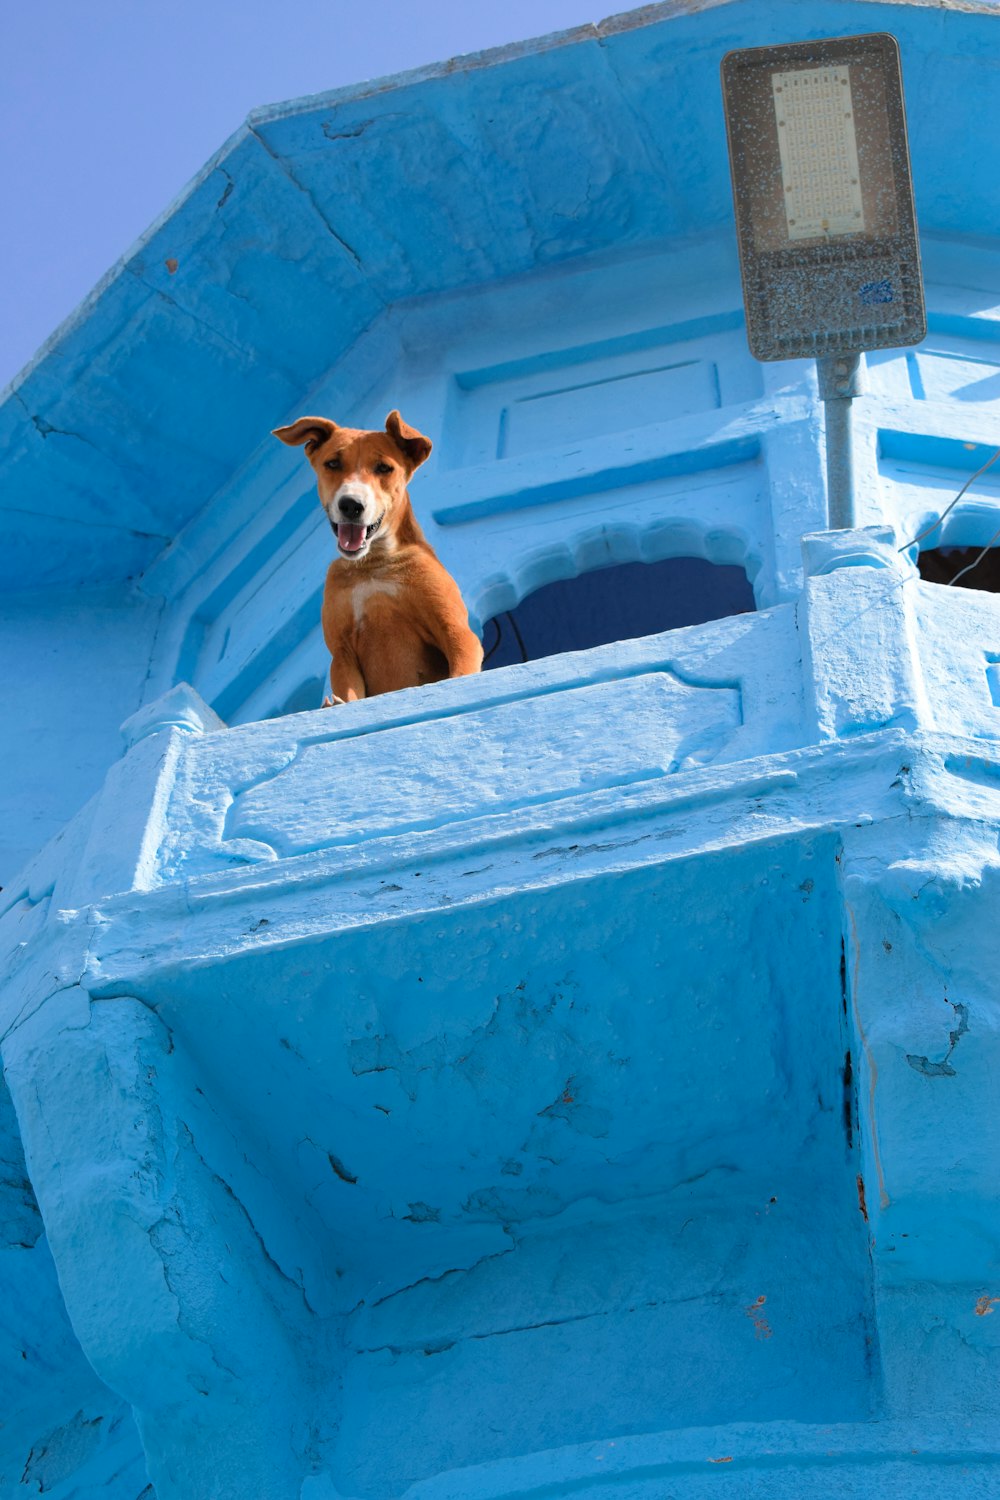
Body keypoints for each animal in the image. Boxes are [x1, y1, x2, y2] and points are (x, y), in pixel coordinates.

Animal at [275, 411, 482, 702]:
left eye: (384, 468)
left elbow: (461, 671)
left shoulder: (453, 628)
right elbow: (349, 694)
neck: (374, 564)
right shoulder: (342, 653)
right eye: (333, 463)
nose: (351, 504)